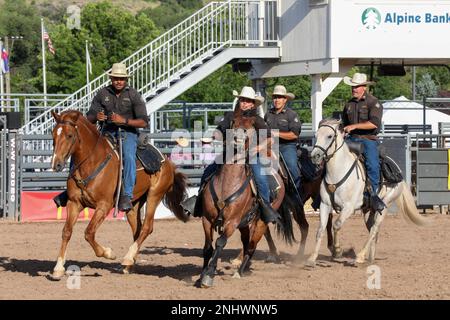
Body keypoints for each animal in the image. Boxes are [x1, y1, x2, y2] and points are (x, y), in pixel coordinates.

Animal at [49, 111, 188, 278]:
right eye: (53, 134)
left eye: (69, 135)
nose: (56, 164)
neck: (91, 162)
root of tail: (168, 163)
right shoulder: (74, 203)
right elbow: (66, 232)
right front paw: (58, 267)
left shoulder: (104, 206)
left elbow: (89, 232)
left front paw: (108, 253)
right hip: (133, 205)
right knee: (137, 230)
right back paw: (129, 263)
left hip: (154, 195)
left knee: (147, 227)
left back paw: (127, 258)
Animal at [199, 110, 294, 288]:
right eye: (233, 122)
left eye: (249, 127)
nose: (237, 138)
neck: (228, 183)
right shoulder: (207, 219)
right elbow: (208, 247)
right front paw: (201, 275)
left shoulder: (232, 221)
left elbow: (220, 243)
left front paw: (209, 275)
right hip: (245, 224)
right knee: (246, 242)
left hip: (261, 222)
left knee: (251, 245)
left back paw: (240, 271)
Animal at [304, 119, 428, 266]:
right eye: (317, 135)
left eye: (329, 136)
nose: (315, 156)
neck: (337, 172)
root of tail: (398, 171)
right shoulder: (324, 205)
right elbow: (320, 230)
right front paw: (312, 259)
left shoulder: (348, 207)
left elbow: (336, 225)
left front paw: (337, 251)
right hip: (369, 209)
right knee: (372, 229)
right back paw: (370, 258)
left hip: (385, 205)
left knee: (374, 229)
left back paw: (360, 257)